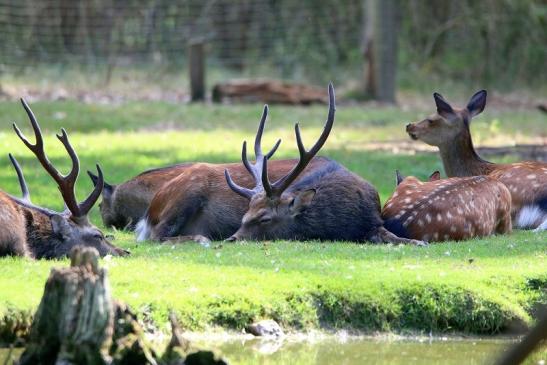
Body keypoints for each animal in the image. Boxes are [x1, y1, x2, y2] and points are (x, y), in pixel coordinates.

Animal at [225, 83, 426, 245]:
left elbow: (394, 237)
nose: (231, 238)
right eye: (245, 216)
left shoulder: (373, 220)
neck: (338, 226)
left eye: (265, 219)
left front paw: (417, 242)